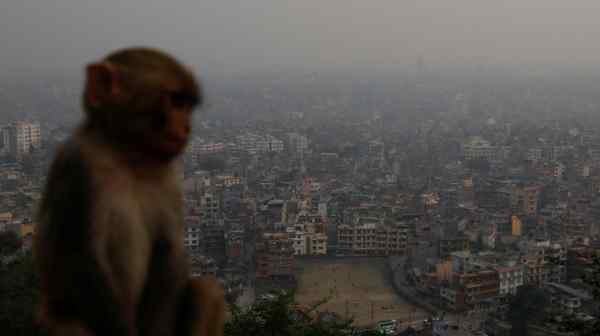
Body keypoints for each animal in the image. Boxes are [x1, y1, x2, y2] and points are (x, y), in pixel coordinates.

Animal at [35, 48, 227, 336]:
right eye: (175, 101)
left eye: (187, 105)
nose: (187, 128)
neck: (127, 157)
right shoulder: (78, 165)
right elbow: (82, 256)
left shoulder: (169, 176)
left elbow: (169, 249)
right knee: (67, 325)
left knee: (207, 290)